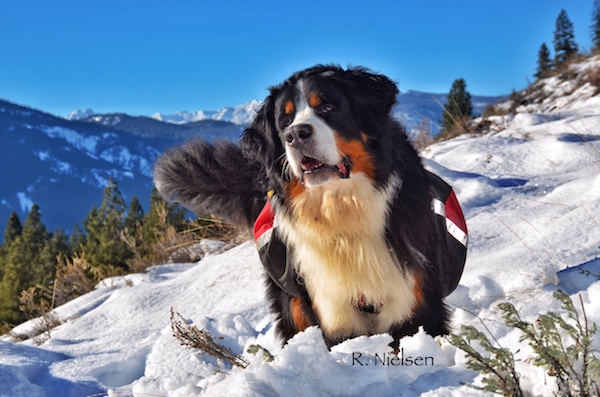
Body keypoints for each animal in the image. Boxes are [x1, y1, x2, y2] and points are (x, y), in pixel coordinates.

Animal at [155, 65, 464, 350]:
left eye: (328, 106)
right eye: (285, 121)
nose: (295, 134)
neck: (342, 208)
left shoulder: (413, 297)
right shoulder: (331, 307)